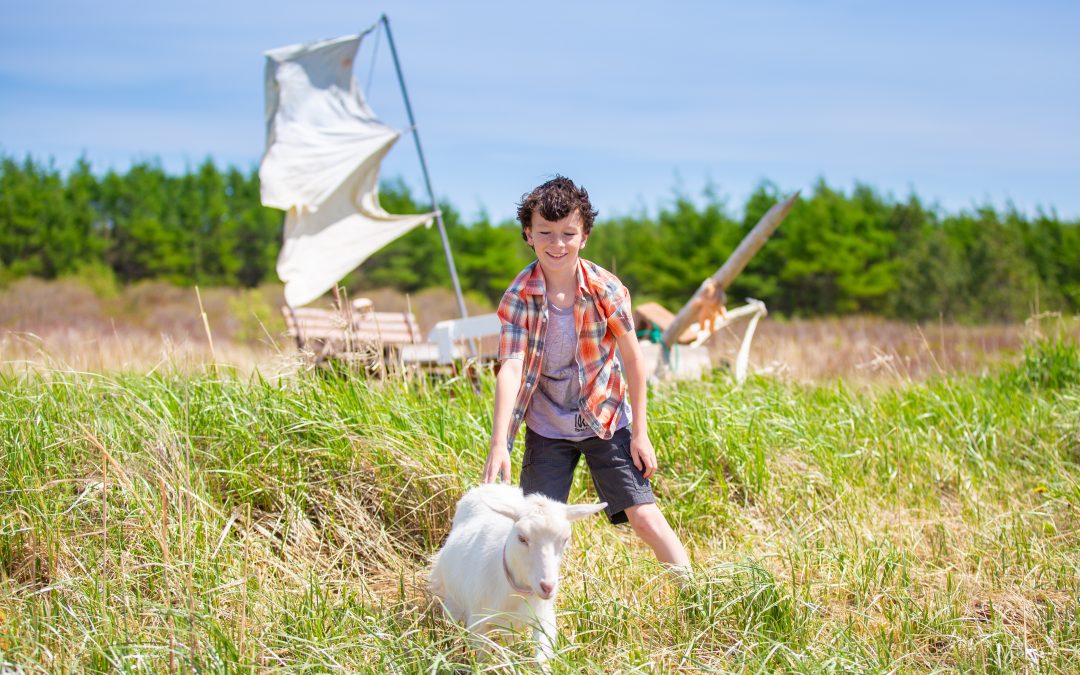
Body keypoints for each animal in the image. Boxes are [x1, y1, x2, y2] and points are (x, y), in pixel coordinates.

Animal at [425, 481, 604, 660]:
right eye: (521, 538)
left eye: (565, 539)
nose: (547, 587)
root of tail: (493, 485)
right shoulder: (479, 623)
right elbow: (483, 659)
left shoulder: (543, 616)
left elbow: (542, 655)